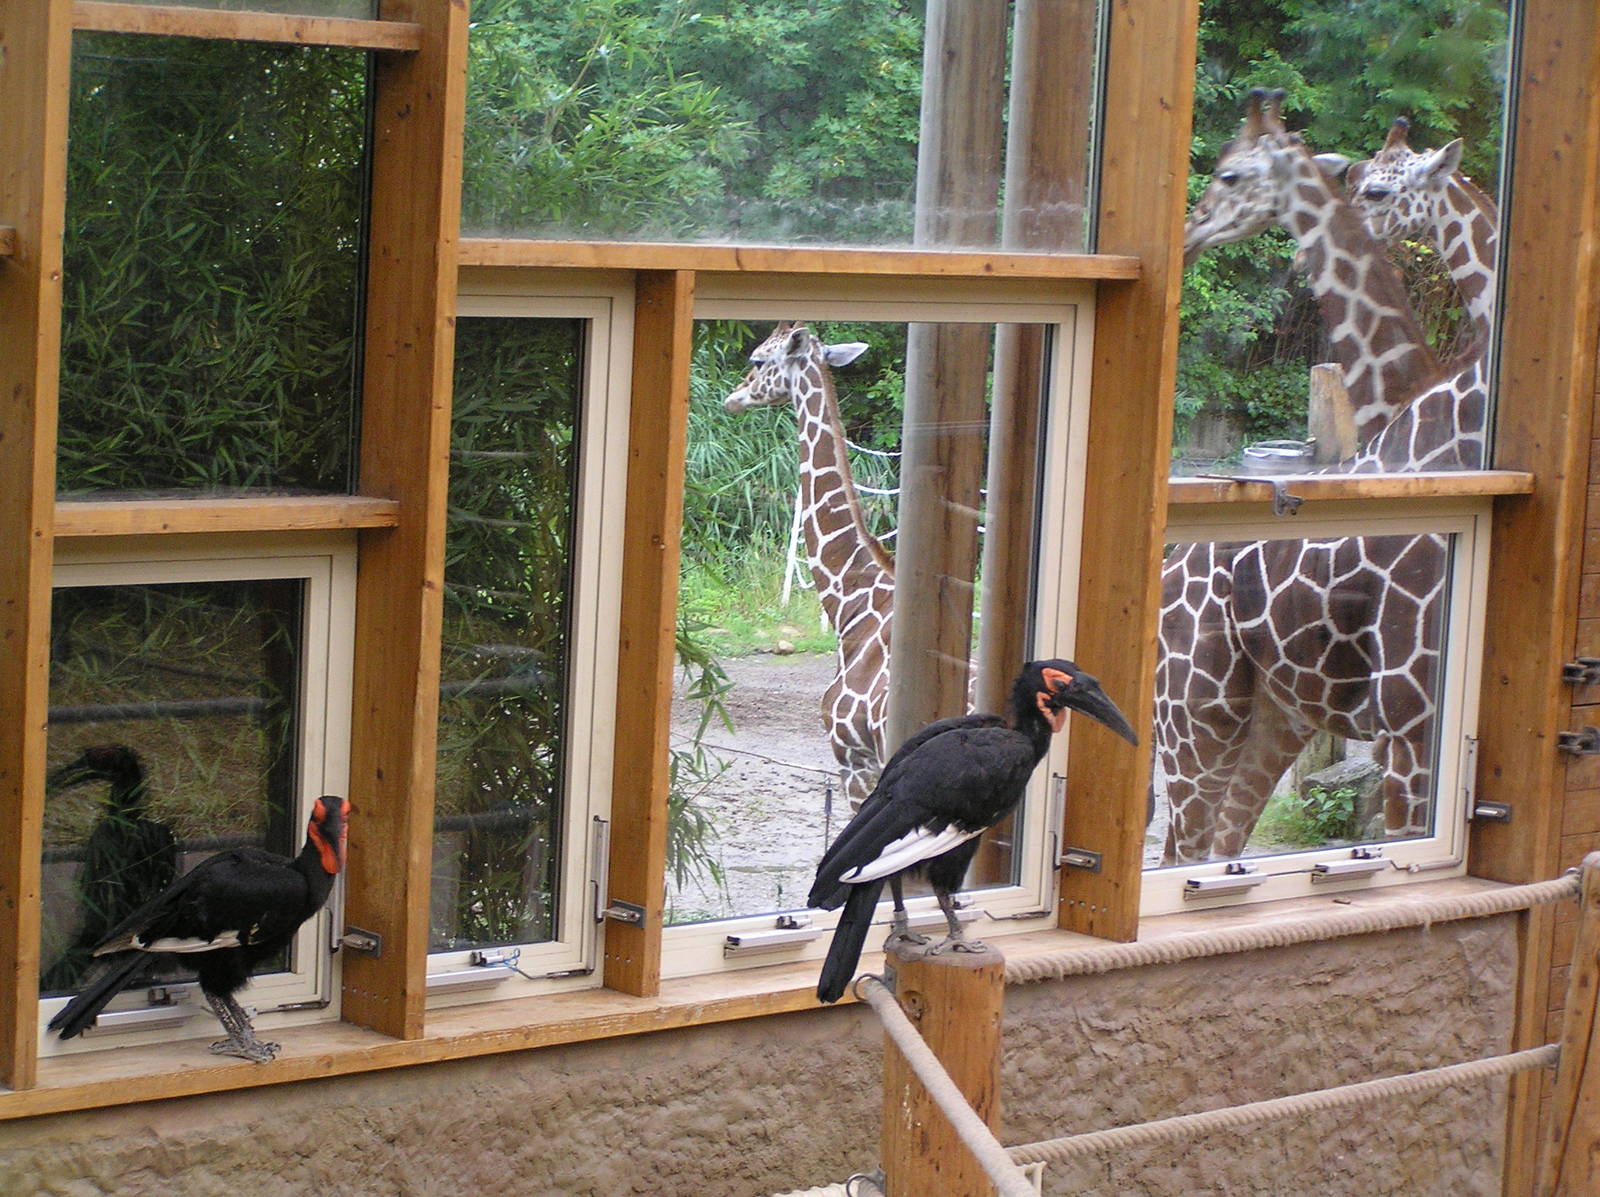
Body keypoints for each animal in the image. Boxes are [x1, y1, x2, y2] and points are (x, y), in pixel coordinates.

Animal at [1160, 95, 1482, 863]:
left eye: (1231, 172)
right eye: (1354, 177)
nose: (1189, 231)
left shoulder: (1413, 731)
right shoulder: (1406, 726)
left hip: (1266, 718)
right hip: (1197, 720)